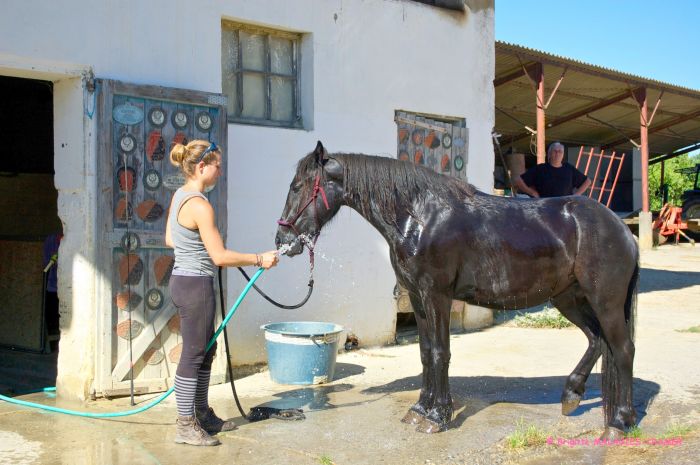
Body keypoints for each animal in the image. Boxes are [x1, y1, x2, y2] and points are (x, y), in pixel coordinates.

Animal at [276, 141, 636, 438]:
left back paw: (619, 423)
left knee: (623, 349)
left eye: (297, 186)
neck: (420, 217)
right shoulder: (418, 298)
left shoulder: (437, 295)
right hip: (568, 297)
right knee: (597, 340)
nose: (283, 239)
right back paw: (571, 396)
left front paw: (437, 417)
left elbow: (440, 352)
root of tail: (622, 228)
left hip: (605, 301)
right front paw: (420, 409)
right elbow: (425, 352)